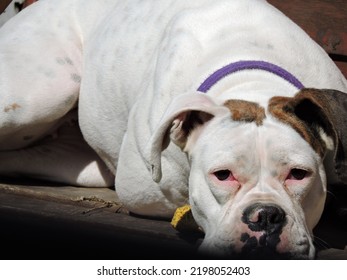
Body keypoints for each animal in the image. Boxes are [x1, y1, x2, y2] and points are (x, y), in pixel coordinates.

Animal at [0, 0, 347, 260]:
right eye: (222, 175)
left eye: (299, 174)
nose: (265, 215)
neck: (251, 77)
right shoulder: (144, 194)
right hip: (38, 96)